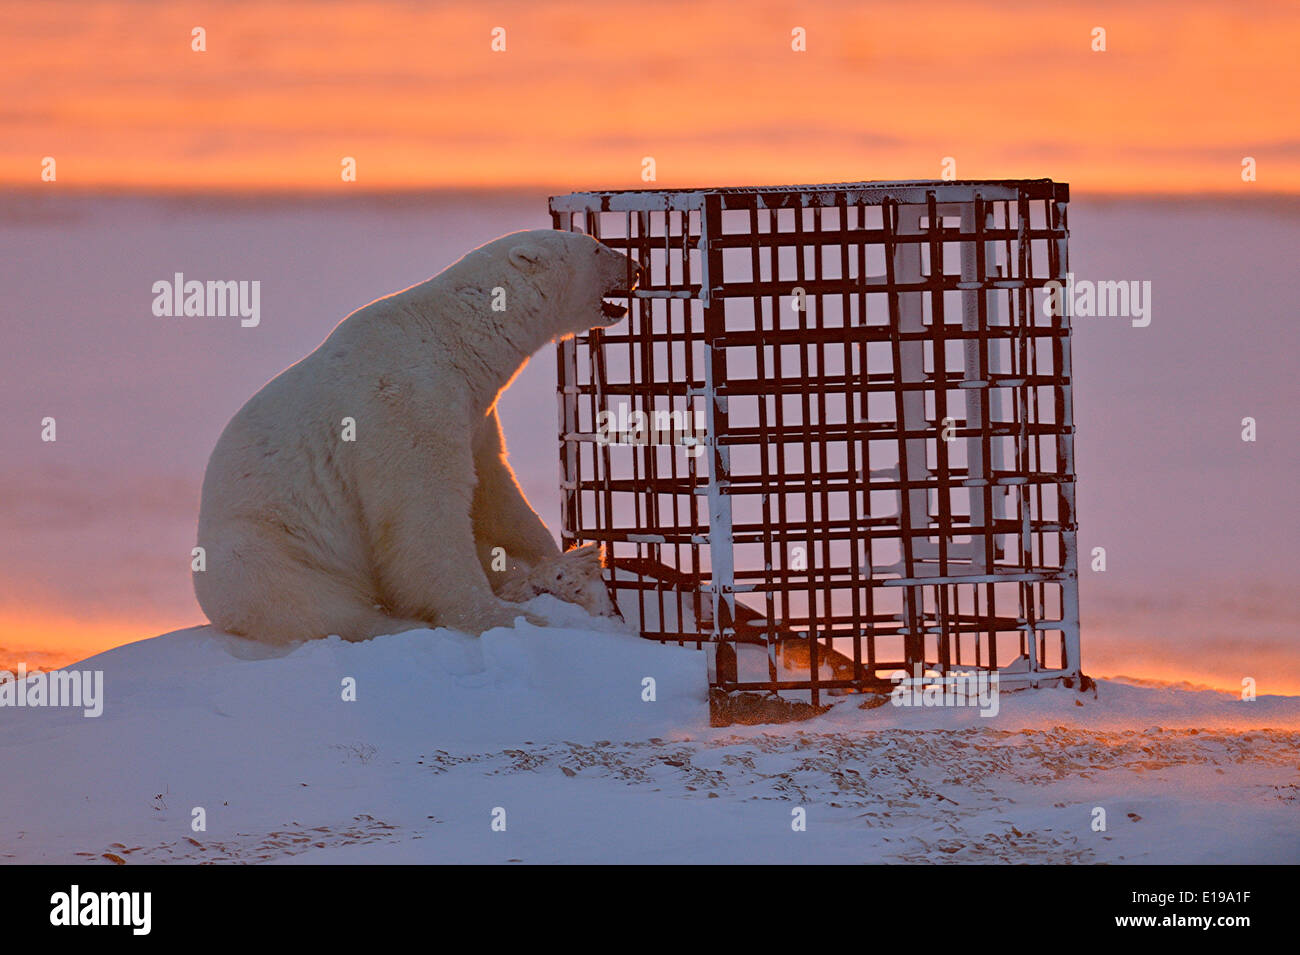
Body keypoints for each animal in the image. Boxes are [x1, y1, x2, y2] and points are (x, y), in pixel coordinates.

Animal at [192, 228, 634, 647]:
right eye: (596, 248)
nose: (636, 267)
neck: (455, 336)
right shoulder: (406, 402)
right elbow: (424, 513)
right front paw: (498, 616)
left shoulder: (475, 415)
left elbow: (495, 494)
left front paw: (560, 561)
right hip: (266, 550)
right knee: (309, 601)